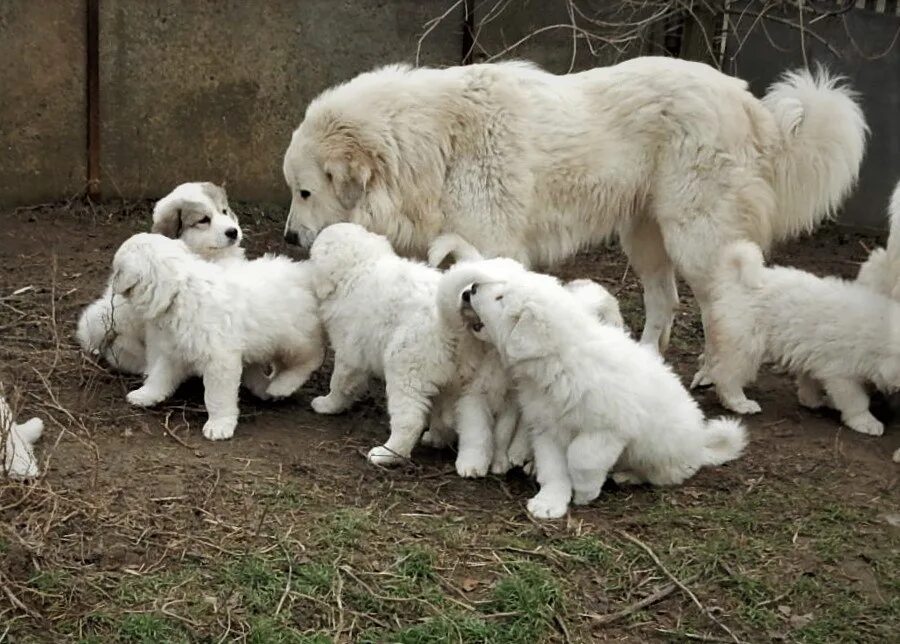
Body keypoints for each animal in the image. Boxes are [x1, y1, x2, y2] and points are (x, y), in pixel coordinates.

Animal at [111, 234, 324, 440]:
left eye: (117, 271)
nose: (111, 285)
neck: (180, 291)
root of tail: (304, 273)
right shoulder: (175, 349)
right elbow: (159, 375)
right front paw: (145, 395)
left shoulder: (219, 360)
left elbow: (217, 397)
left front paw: (219, 425)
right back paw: (265, 388)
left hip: (295, 338)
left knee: (309, 359)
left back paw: (281, 386)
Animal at [282, 57, 864, 388]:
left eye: (305, 192)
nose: (288, 236)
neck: (433, 143)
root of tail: (751, 106)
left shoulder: (493, 247)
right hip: (644, 238)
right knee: (665, 301)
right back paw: (644, 360)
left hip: (697, 238)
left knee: (721, 308)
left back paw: (712, 375)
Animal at [458, 260, 744, 520]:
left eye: (500, 298)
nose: (472, 288)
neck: (562, 362)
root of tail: (700, 447)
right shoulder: (548, 428)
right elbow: (553, 468)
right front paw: (549, 503)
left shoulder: (605, 430)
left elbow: (581, 458)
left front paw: (585, 492)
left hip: (659, 449)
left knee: (664, 473)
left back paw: (627, 475)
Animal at [712, 243, 900, 438]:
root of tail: (734, 281)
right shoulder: (841, 373)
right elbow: (857, 401)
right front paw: (866, 422)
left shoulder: (814, 356)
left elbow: (809, 382)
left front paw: (815, 401)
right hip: (744, 347)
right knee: (726, 376)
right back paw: (740, 403)